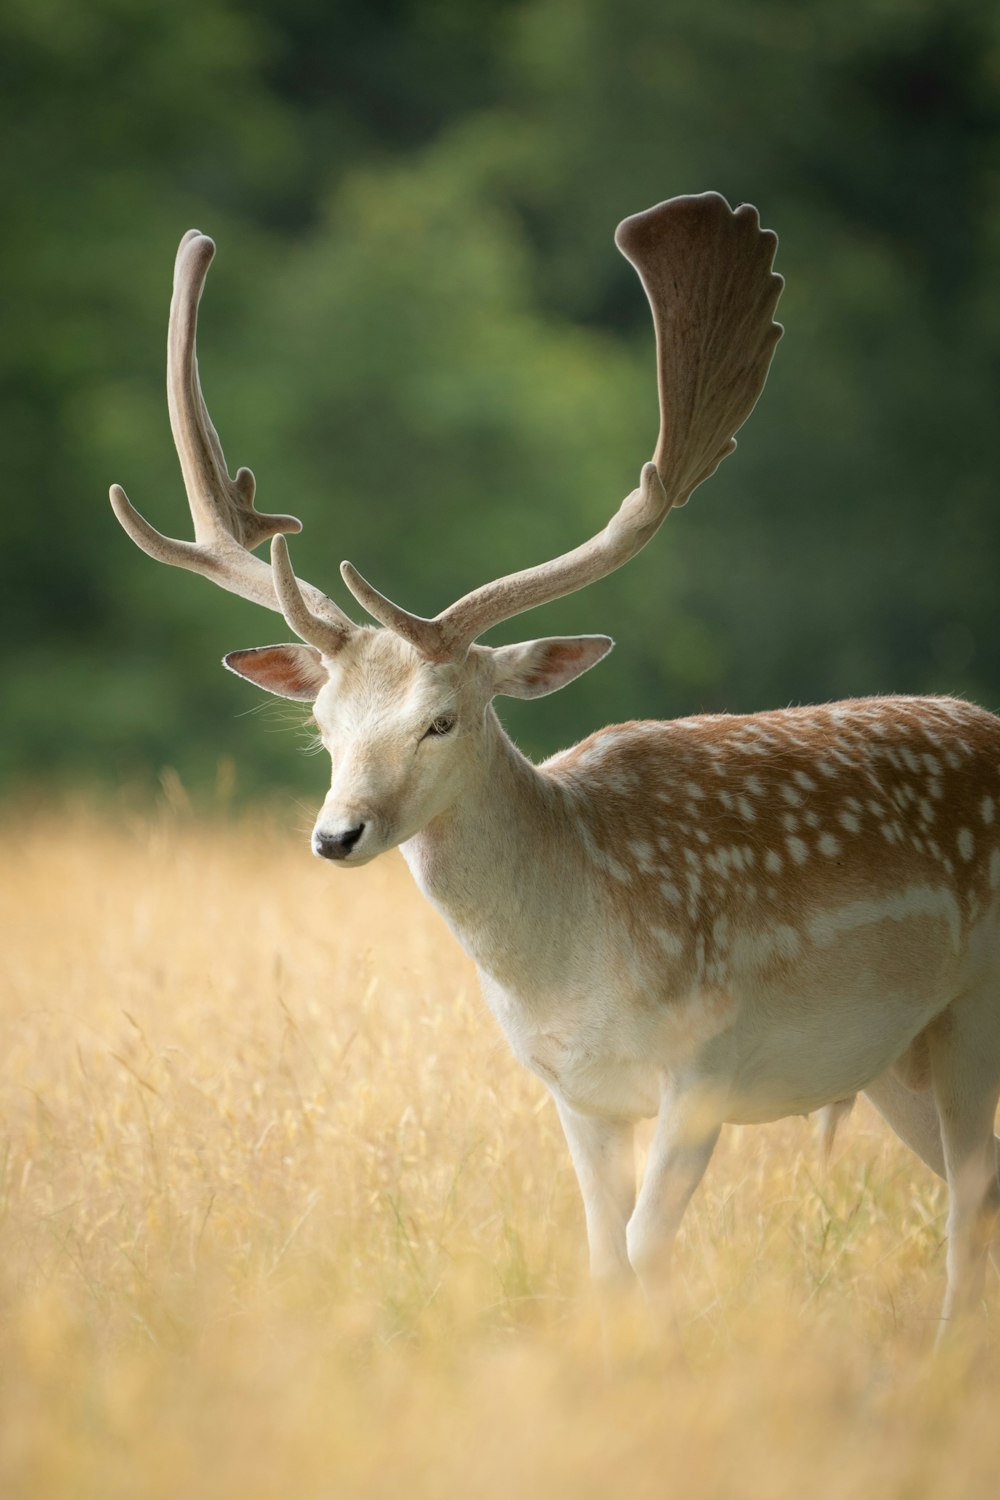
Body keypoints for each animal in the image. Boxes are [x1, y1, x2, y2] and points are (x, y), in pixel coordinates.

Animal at [109, 193, 1000, 1344]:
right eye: (323, 724)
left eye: (442, 720)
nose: (336, 834)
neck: (574, 961)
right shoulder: (576, 1093)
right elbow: (605, 1262)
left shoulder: (708, 1062)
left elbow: (647, 1249)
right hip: (896, 1055)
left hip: (974, 1003)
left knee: (972, 1198)